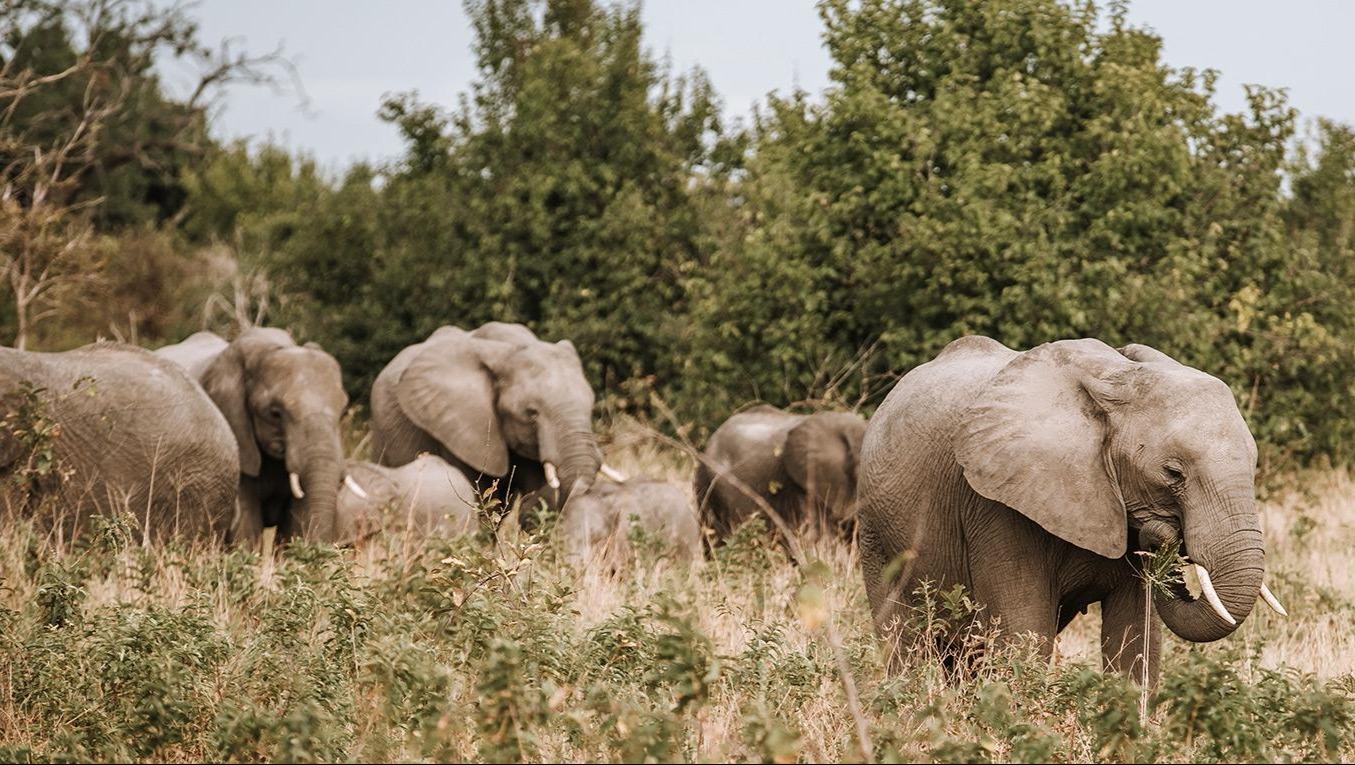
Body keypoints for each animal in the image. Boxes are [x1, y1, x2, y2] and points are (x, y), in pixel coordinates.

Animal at [857, 336, 1288, 686]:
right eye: (1173, 473)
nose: (1166, 537)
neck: (1116, 379)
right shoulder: (997, 505)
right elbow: (1023, 633)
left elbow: (1135, 641)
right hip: (874, 529)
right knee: (904, 639)